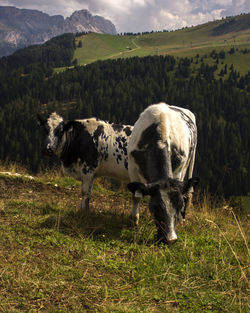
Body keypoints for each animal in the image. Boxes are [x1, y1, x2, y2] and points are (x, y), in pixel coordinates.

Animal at [127, 102, 199, 244]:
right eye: (156, 207)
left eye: (179, 205)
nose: (171, 239)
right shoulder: (132, 166)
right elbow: (136, 196)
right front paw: (134, 220)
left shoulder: (178, 172)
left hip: (190, 162)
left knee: (188, 193)